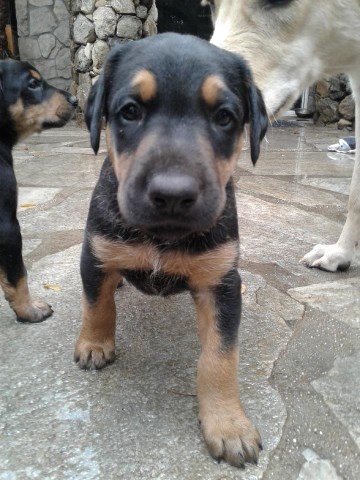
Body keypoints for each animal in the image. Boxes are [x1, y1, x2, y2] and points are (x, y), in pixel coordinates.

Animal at [75, 34, 268, 468]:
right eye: (130, 111)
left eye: (224, 117)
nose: (173, 194)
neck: (162, 236)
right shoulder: (96, 252)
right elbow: (97, 305)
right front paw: (94, 344)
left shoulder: (221, 285)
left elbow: (220, 358)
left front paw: (228, 424)